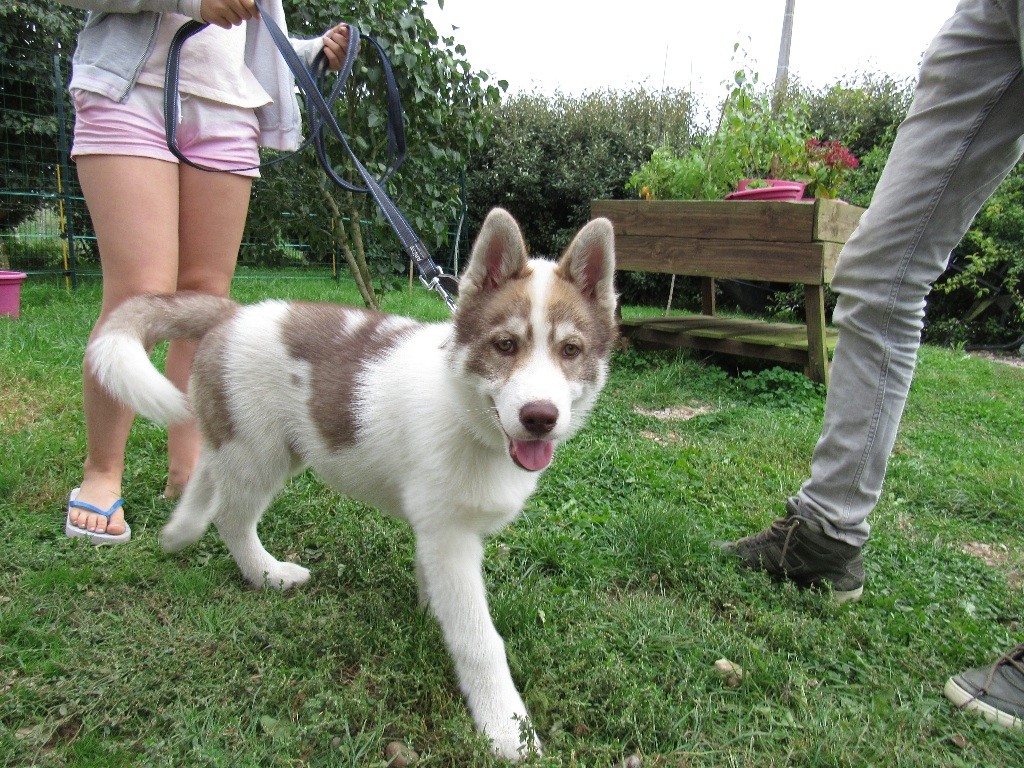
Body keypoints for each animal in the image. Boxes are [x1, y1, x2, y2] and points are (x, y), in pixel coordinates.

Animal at [88, 207, 614, 761]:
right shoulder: (451, 539)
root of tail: (233, 315)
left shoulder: (435, 532)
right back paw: (266, 573)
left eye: (571, 350)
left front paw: (431, 621)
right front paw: (507, 728)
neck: (465, 414)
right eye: (505, 345)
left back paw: (179, 532)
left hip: (250, 443)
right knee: (232, 517)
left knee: (208, 471)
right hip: (259, 454)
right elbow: (479, 639)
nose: (540, 418)